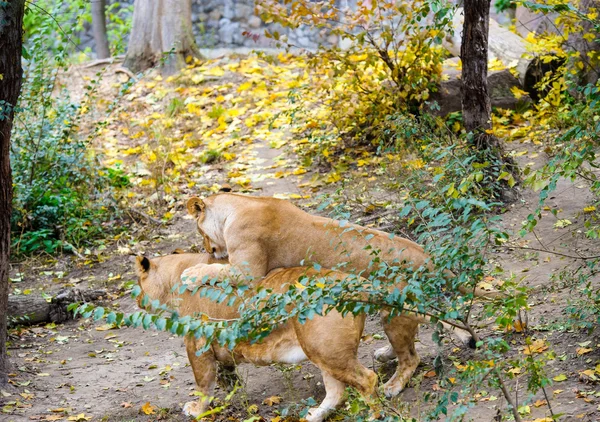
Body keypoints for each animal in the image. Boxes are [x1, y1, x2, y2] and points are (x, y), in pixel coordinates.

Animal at [136, 254, 380, 422]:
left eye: (138, 284)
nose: (137, 301)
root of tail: (354, 282)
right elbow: (226, 374)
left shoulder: (197, 343)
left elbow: (203, 385)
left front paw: (197, 410)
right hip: (322, 351)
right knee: (337, 392)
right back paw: (313, 416)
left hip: (327, 351)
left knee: (367, 379)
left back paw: (371, 416)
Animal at [186, 193, 478, 398]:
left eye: (199, 231)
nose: (209, 250)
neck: (240, 206)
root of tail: (427, 255)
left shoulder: (247, 273)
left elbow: (213, 270)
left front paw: (190, 272)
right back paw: (385, 353)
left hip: (393, 310)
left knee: (411, 357)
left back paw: (392, 386)